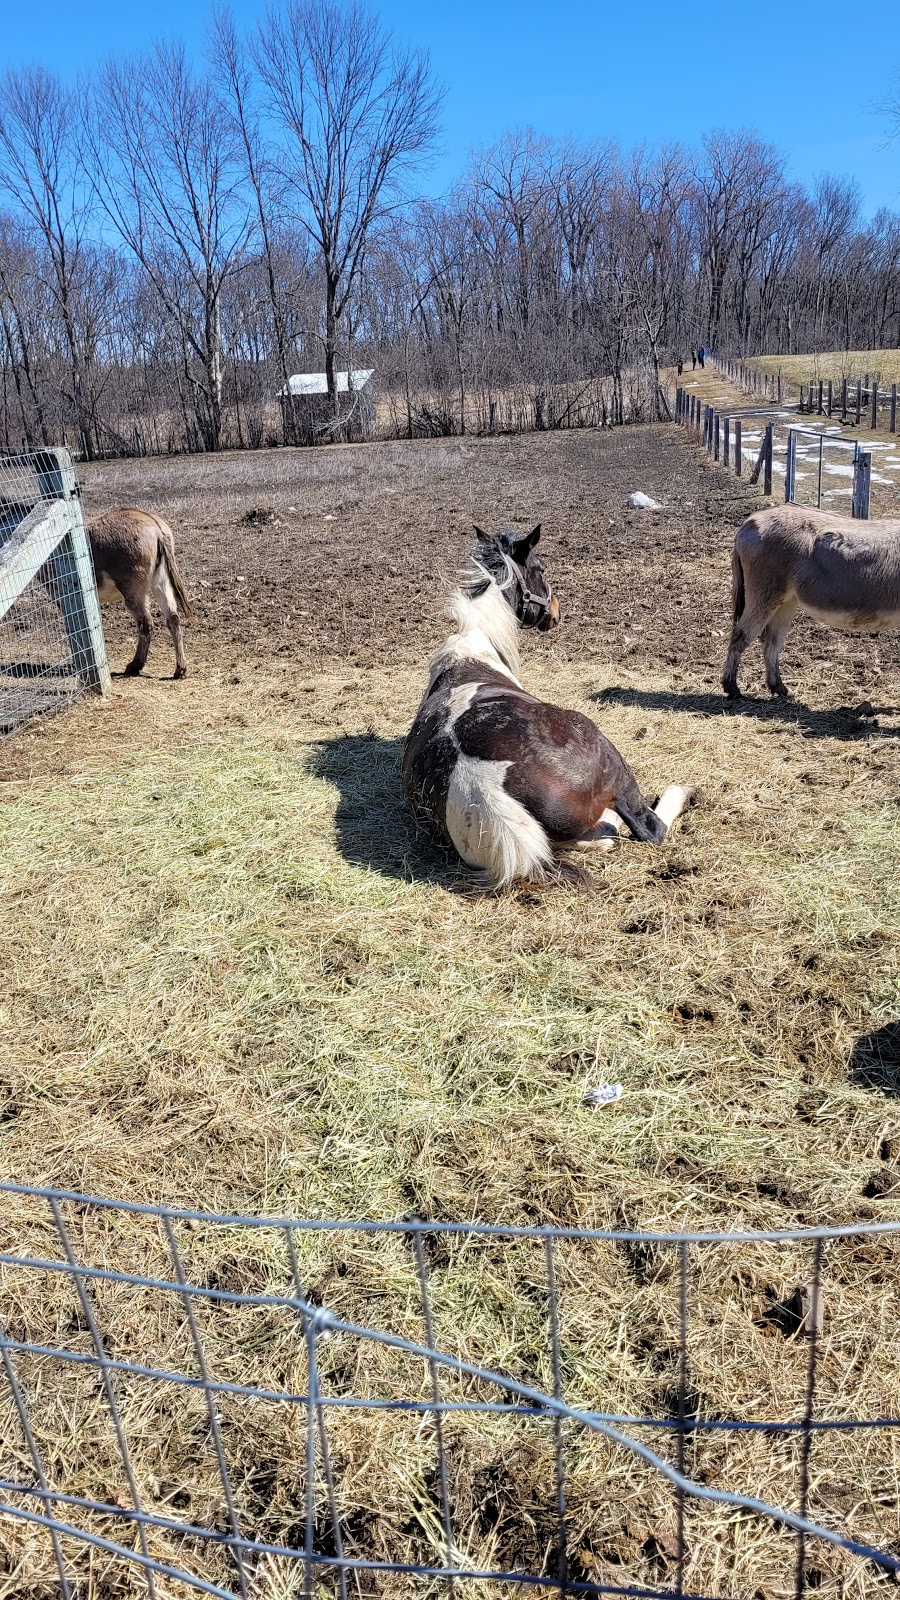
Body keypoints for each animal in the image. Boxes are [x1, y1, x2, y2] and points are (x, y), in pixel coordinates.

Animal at [398, 531, 685, 896]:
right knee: (648, 827)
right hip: (609, 757)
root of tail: (486, 793)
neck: (473, 648)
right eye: (540, 567)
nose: (556, 612)